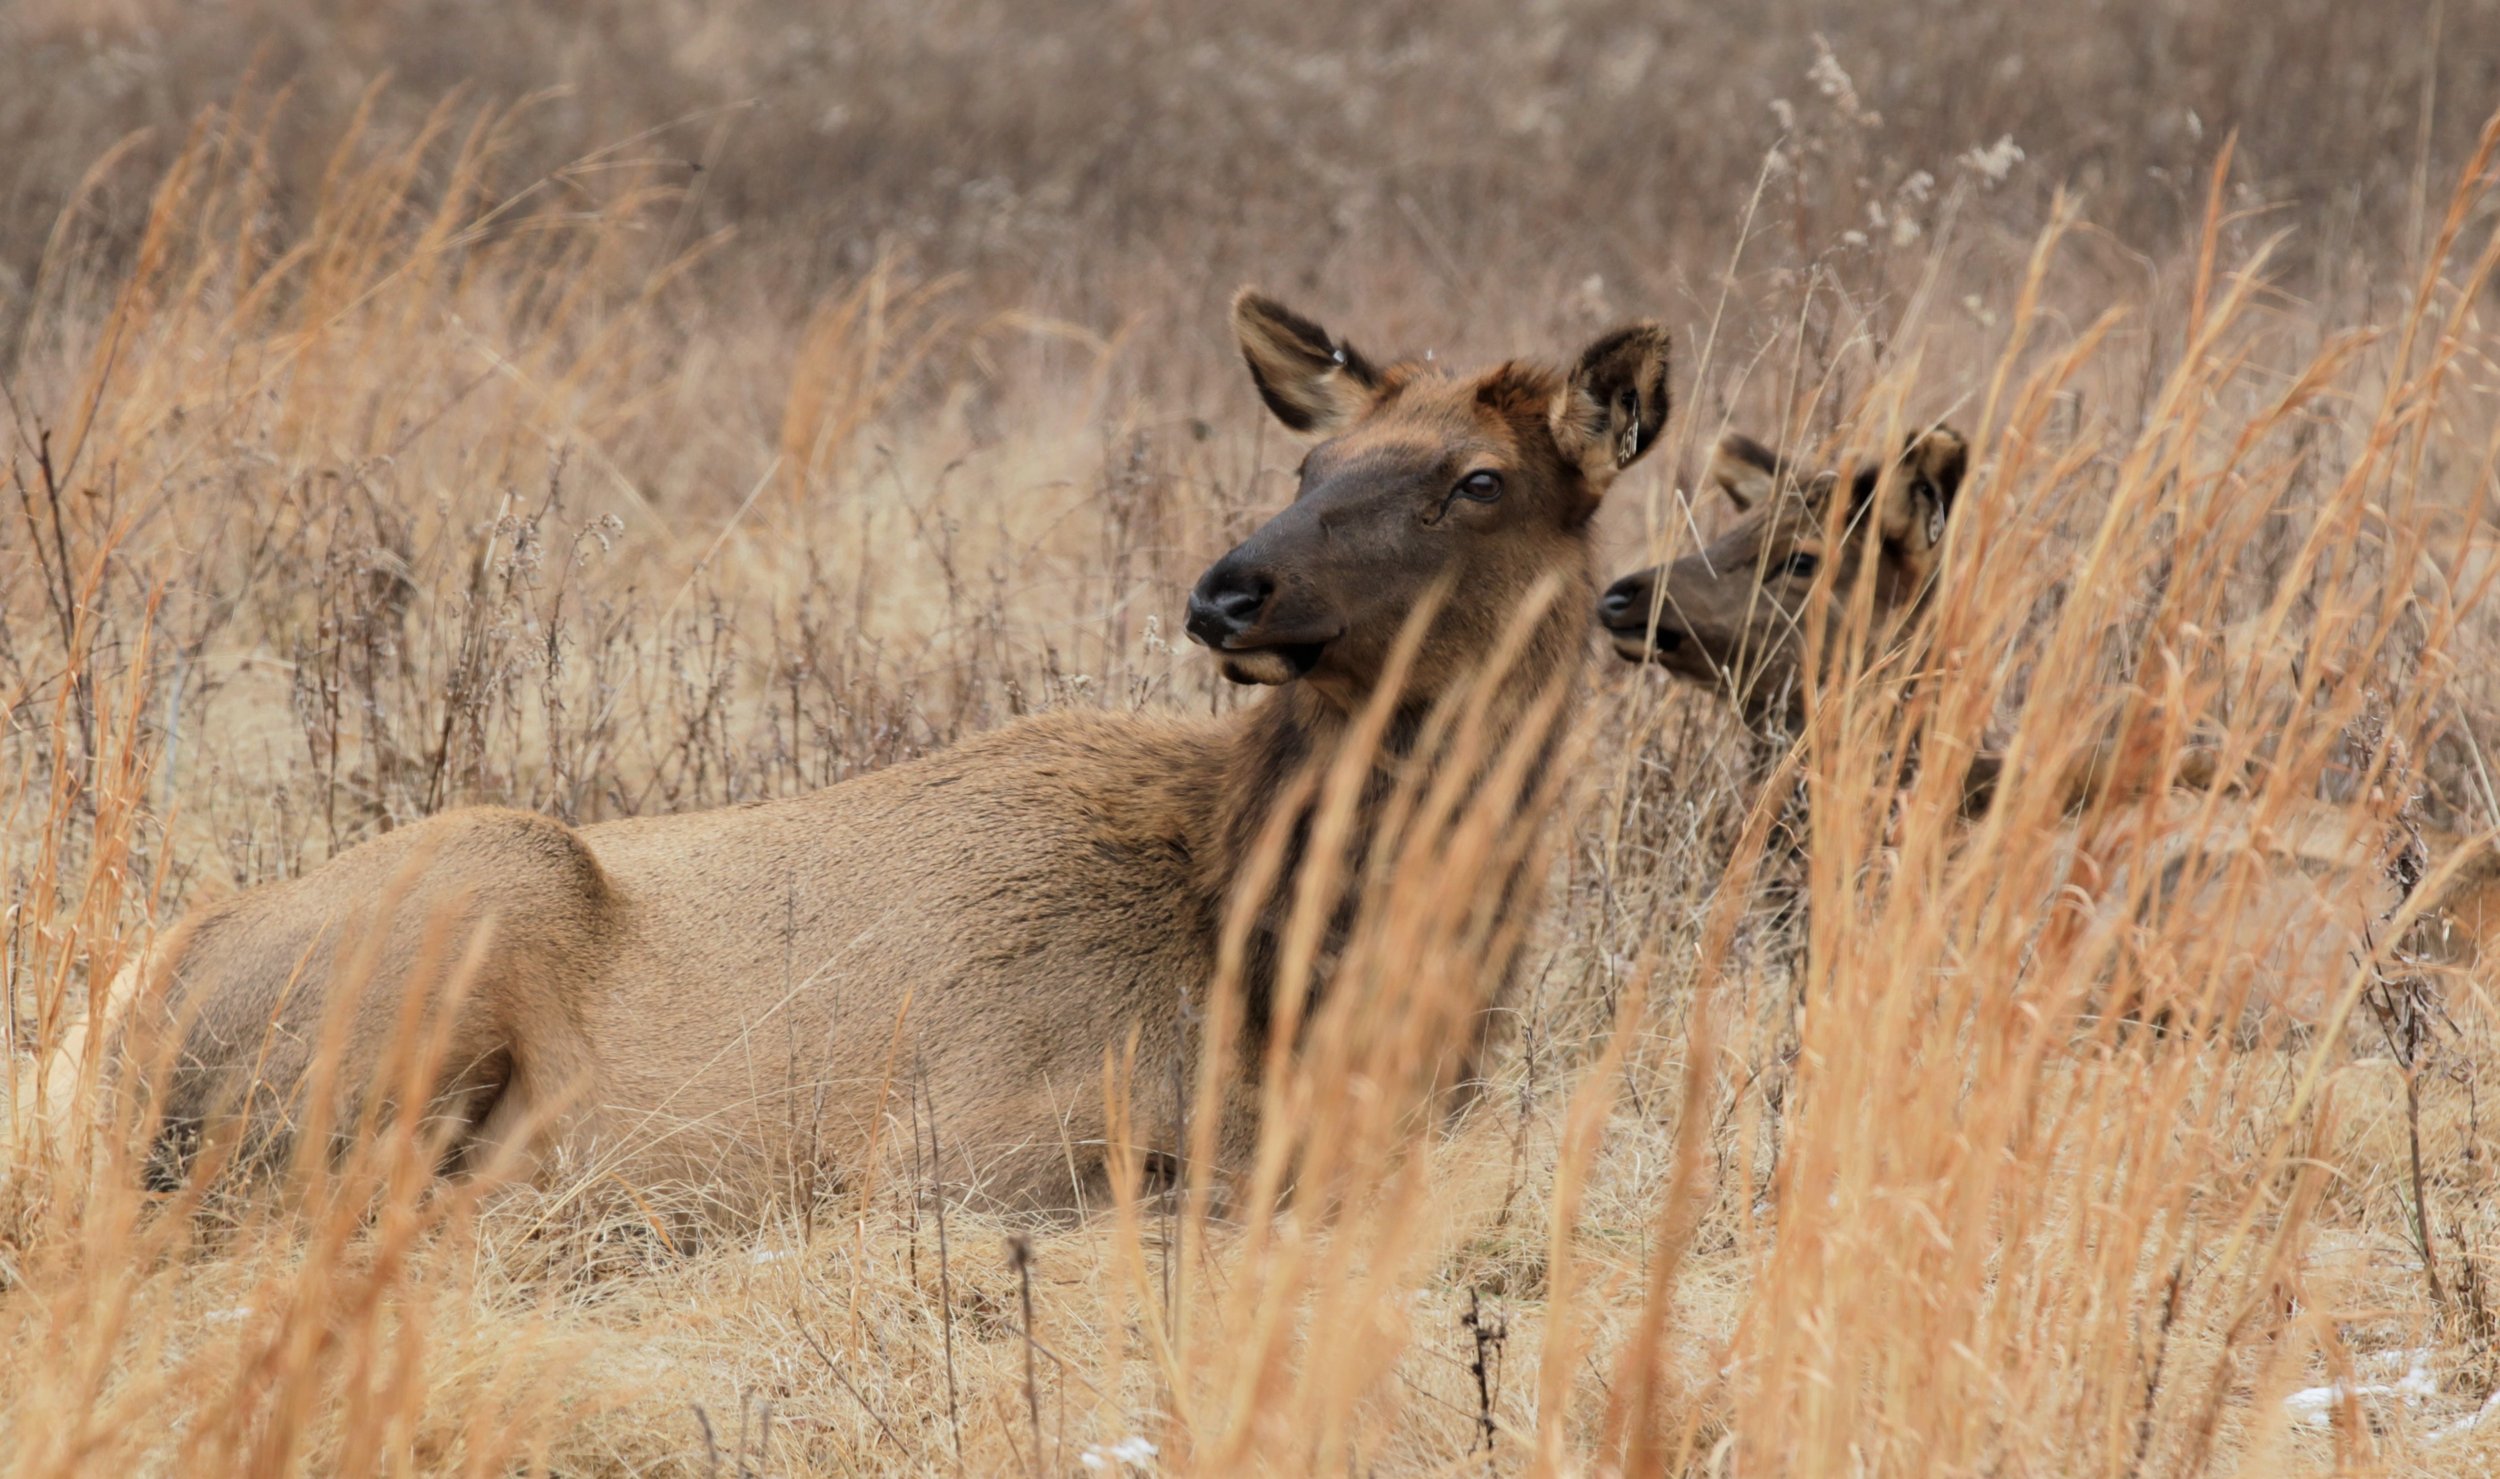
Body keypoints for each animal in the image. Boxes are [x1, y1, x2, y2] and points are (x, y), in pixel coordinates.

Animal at [29, 288, 1670, 1214]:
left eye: (1479, 478)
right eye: (1311, 459)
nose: (1228, 589)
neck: (1284, 969)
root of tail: (101, 1014)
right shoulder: (956, 1135)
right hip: (450, 917)